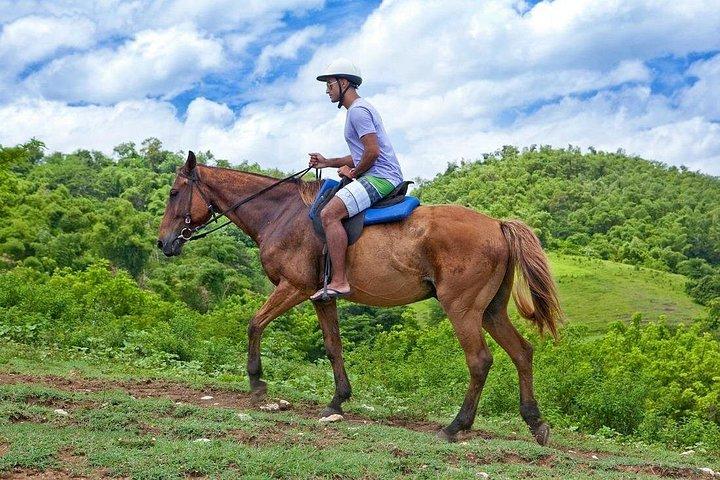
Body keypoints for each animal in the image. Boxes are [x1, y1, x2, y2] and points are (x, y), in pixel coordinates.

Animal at [156, 151, 563, 445]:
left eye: (174, 193)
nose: (163, 243)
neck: (281, 214)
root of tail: (497, 224)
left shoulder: (294, 287)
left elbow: (255, 324)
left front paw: (258, 386)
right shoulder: (322, 298)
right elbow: (333, 346)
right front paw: (337, 400)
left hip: (461, 308)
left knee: (479, 361)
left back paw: (455, 426)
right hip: (490, 310)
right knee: (522, 352)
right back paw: (535, 422)